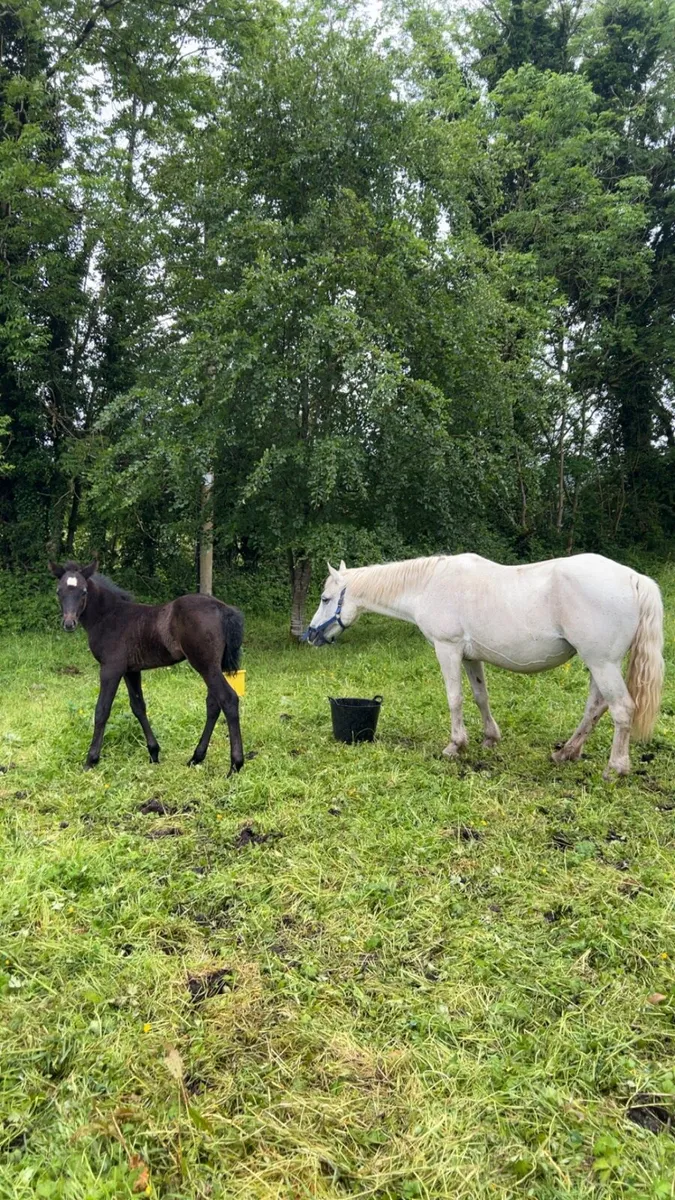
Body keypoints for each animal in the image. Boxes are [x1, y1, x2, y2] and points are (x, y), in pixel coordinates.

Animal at [49, 560, 245, 774]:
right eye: (59, 591)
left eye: (83, 591)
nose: (69, 623)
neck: (108, 616)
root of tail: (222, 608)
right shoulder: (131, 670)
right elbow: (138, 707)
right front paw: (154, 753)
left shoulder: (111, 669)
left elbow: (102, 710)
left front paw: (90, 761)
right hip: (213, 666)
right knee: (213, 704)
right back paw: (196, 757)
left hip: (206, 666)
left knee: (228, 699)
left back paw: (235, 765)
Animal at [303, 553, 664, 779]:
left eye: (324, 599)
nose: (310, 634)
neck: (428, 585)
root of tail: (634, 578)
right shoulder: (471, 657)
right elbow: (480, 697)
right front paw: (490, 739)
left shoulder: (447, 650)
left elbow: (455, 699)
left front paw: (455, 745)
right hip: (597, 664)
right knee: (596, 706)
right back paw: (566, 753)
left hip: (602, 663)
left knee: (621, 709)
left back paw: (615, 769)